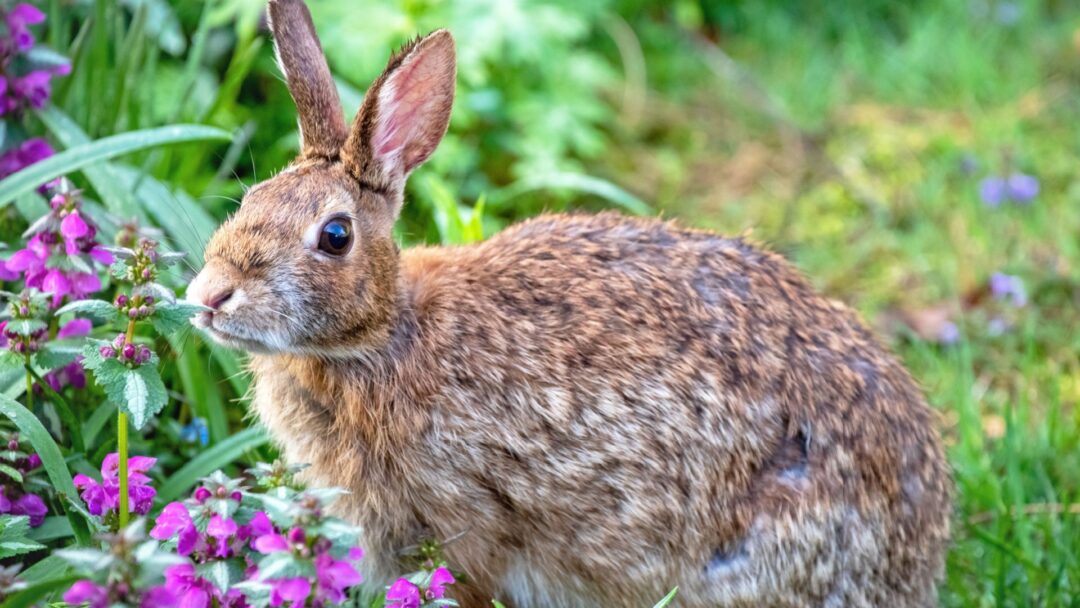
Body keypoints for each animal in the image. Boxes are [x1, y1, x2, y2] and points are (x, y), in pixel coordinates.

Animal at [186, 1, 953, 606]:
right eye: (252, 199)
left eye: (335, 236)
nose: (210, 295)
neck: (380, 337)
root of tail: (919, 549)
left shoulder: (462, 526)